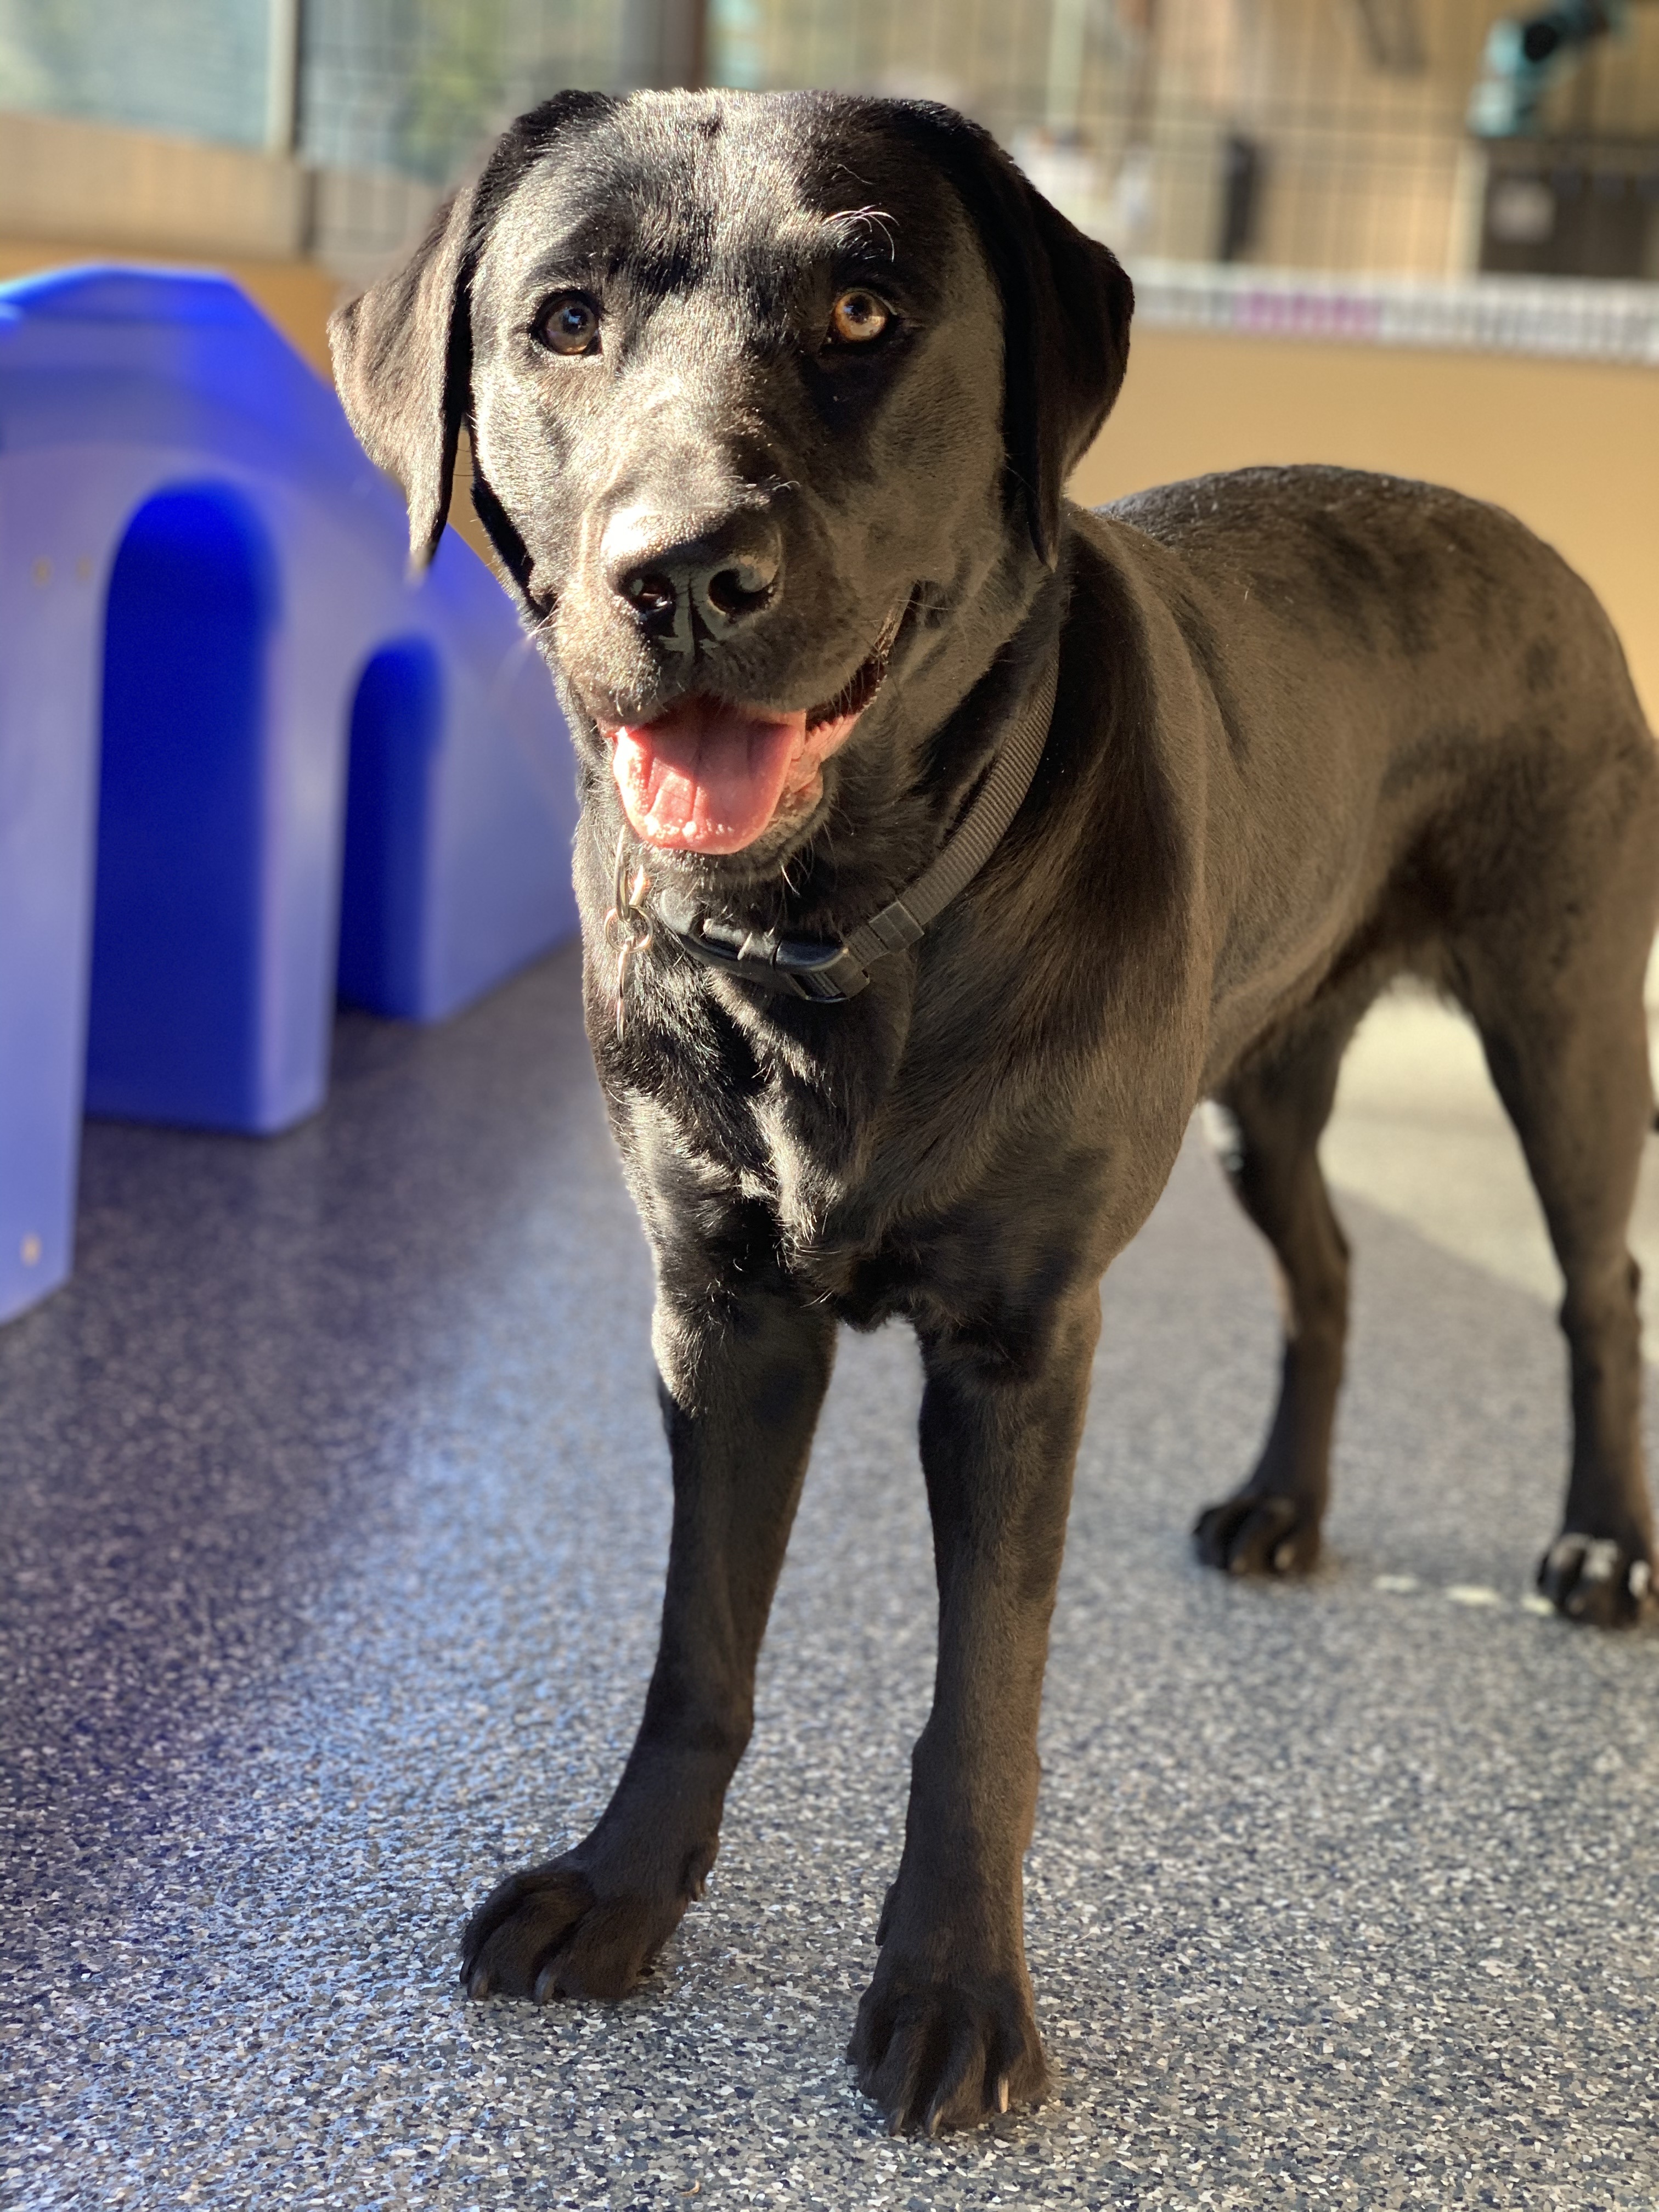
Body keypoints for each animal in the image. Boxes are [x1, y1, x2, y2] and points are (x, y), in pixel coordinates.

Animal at [327, 91, 1659, 2141]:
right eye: (563, 321)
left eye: (868, 312)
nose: (683, 571)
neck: (829, 935)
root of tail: (1531, 542)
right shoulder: (719, 1319)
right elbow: (695, 1651)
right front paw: (626, 1891)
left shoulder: (1021, 1348)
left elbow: (982, 1713)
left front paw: (952, 1991)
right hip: (1259, 1093)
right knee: (1331, 1268)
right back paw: (1286, 1505)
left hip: (1563, 1025)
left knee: (1599, 1289)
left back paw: (1599, 1548)